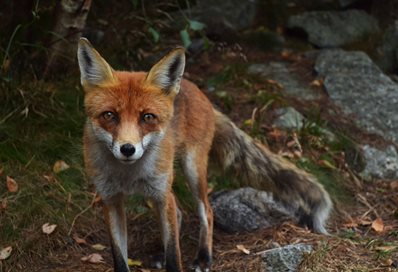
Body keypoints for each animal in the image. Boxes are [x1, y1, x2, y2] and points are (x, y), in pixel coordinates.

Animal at [76, 36, 332, 272]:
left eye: (147, 117)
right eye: (109, 115)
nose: (128, 149)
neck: (127, 175)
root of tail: (197, 90)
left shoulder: (161, 194)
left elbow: (175, 256)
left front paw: (178, 259)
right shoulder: (111, 201)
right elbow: (120, 258)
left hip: (190, 172)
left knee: (206, 212)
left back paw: (203, 257)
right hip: (161, 190)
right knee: (179, 213)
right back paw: (161, 252)